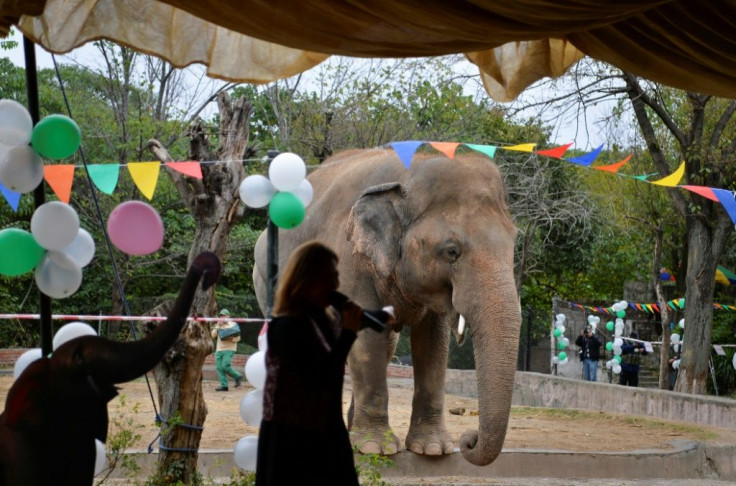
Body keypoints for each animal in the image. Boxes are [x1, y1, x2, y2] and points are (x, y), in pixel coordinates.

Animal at [256, 149, 520, 468]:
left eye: (514, 243)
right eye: (451, 251)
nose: (468, 440)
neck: (409, 171)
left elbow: (433, 343)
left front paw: (432, 449)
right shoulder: (349, 259)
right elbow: (367, 337)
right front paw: (375, 449)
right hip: (266, 282)